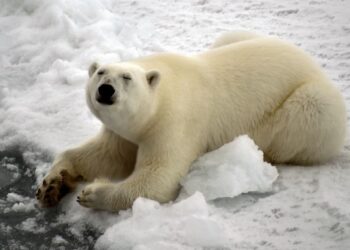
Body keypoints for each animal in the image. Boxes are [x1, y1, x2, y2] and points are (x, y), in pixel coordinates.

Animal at [36, 31, 348, 211]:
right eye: (101, 72)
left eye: (126, 77)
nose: (106, 90)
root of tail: (312, 62)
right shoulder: (124, 132)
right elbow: (104, 155)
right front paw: (51, 184)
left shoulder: (173, 122)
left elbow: (157, 179)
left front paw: (92, 194)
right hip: (238, 37)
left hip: (311, 104)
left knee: (305, 116)